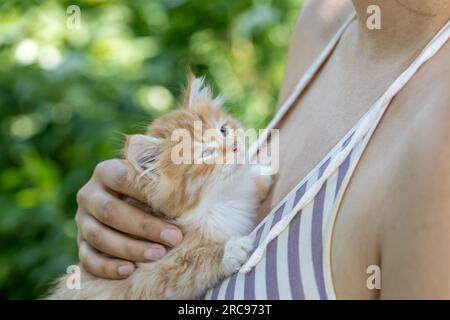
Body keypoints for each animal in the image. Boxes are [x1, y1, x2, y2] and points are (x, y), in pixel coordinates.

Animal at [51, 75, 272, 300]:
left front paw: (260, 174)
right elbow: (188, 268)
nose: (235, 146)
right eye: (206, 154)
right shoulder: (145, 277)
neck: (219, 201)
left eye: (223, 130)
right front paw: (229, 251)